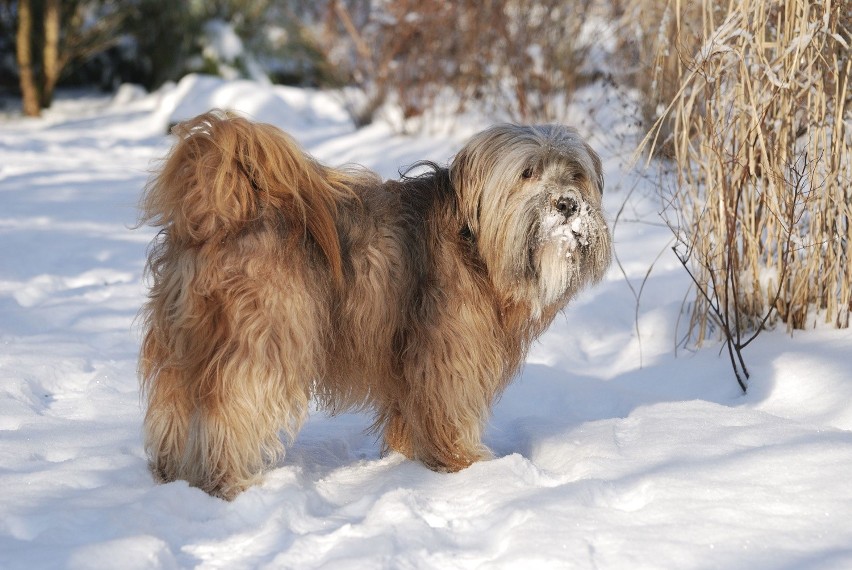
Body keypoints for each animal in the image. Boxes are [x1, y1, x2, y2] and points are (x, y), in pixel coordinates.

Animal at [136, 108, 608, 494]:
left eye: (576, 175)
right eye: (528, 173)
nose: (567, 204)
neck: (475, 242)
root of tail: (217, 214)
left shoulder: (408, 361)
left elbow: (408, 415)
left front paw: (406, 460)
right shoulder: (449, 356)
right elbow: (448, 413)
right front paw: (465, 468)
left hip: (183, 342)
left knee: (174, 408)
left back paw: (174, 477)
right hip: (269, 340)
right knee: (232, 408)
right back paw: (230, 482)